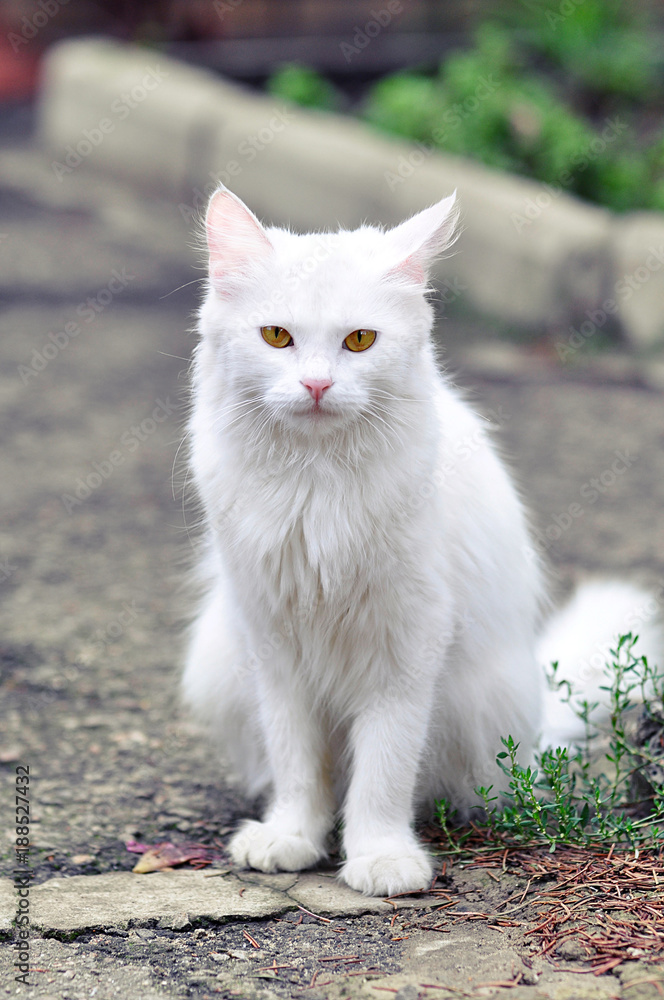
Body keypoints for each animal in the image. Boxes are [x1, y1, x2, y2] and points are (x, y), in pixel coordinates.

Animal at [182, 188, 660, 900]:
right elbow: (298, 763)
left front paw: (380, 857)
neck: (317, 487)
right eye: (276, 337)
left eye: (359, 341)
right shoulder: (273, 643)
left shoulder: (406, 644)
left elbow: (385, 768)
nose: (317, 385)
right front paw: (292, 836)